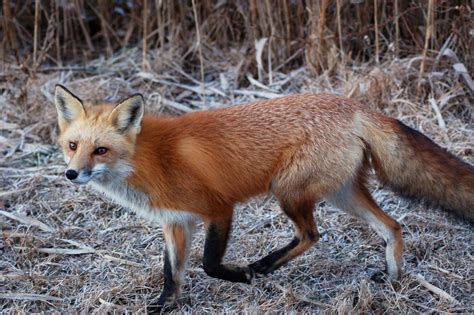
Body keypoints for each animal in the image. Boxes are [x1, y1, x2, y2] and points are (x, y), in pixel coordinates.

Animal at [52, 85, 474, 310]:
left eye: (100, 151)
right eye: (73, 146)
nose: (72, 173)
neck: (152, 160)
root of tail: (355, 105)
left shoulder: (219, 209)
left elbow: (209, 264)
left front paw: (242, 275)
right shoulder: (176, 222)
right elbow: (172, 272)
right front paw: (163, 306)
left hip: (287, 192)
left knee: (311, 235)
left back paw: (263, 267)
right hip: (341, 193)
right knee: (392, 226)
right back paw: (394, 280)